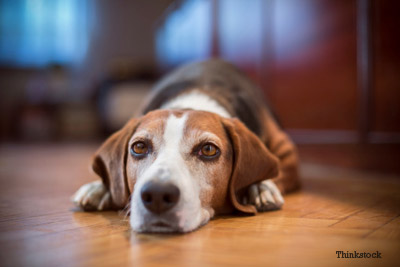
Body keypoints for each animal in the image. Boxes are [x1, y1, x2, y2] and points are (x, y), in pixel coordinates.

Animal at [72, 59, 298, 233]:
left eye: (208, 150)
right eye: (139, 147)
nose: (157, 195)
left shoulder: (286, 151)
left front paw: (260, 187)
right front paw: (99, 188)